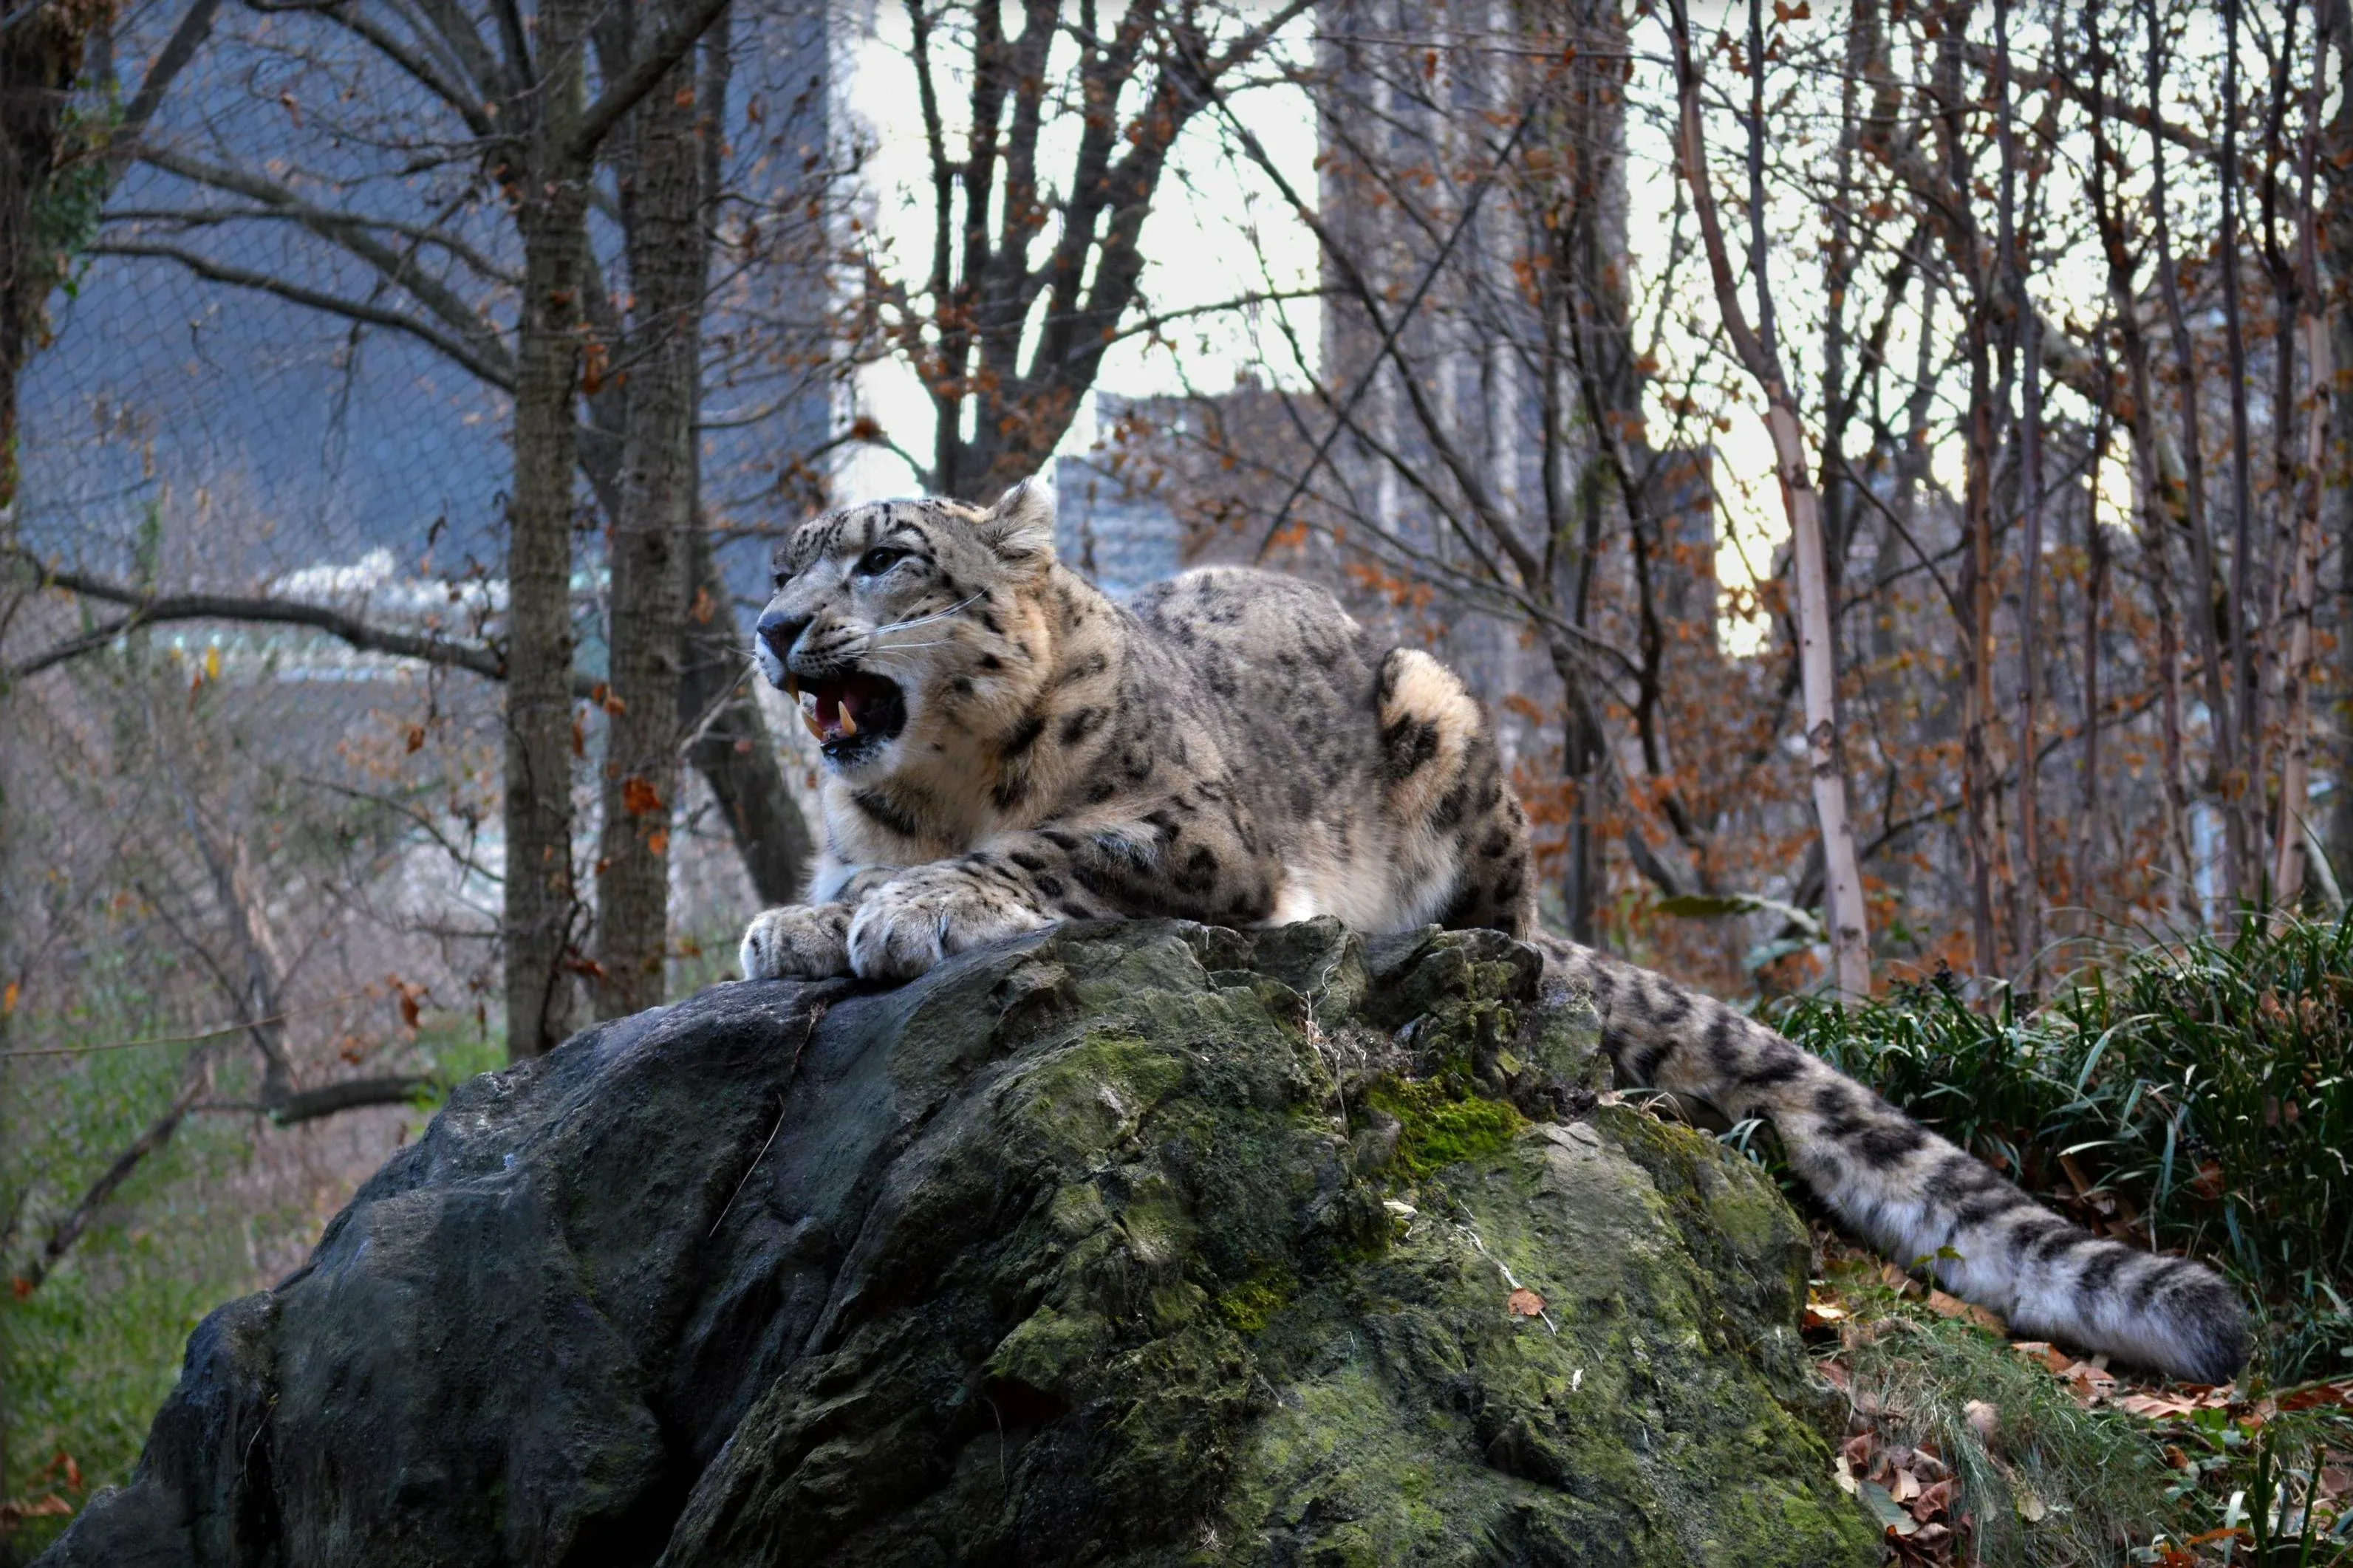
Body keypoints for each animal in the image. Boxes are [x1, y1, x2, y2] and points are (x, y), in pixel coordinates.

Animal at [737, 476, 2248, 1386]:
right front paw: (799, 923)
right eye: (785, 563)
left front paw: (921, 906)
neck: (932, 794)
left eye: (884, 557)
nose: (770, 625)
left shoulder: (1198, 834)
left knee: (1514, 936)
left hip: (1446, 728)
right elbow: (843, 879)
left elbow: (1046, 843)